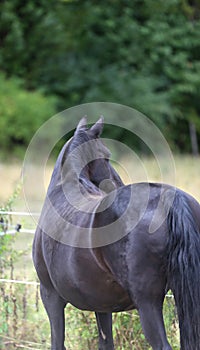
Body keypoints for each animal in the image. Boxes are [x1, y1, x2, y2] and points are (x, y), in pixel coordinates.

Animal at [32, 118, 200, 350]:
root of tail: (171, 199)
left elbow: (57, 343)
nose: (117, 182)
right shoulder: (101, 305)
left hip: (147, 304)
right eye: (106, 157)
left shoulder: (51, 296)